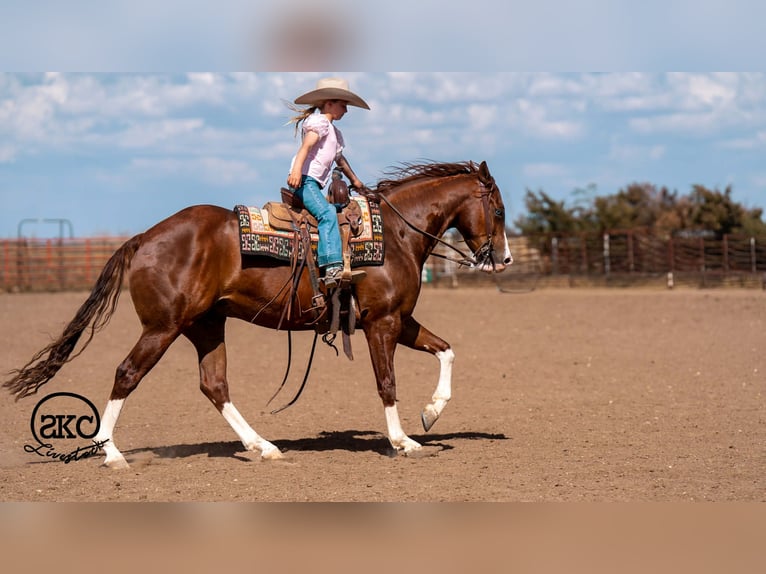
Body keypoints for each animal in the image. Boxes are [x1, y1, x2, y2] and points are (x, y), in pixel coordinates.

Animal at [4, 160, 512, 468]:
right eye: (500, 209)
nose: (504, 258)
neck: (395, 236)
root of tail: (143, 237)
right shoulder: (381, 323)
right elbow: (387, 383)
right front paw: (403, 440)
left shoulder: (397, 319)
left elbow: (446, 351)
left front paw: (431, 414)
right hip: (162, 327)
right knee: (127, 373)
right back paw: (111, 454)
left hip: (205, 326)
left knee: (214, 384)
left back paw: (262, 446)